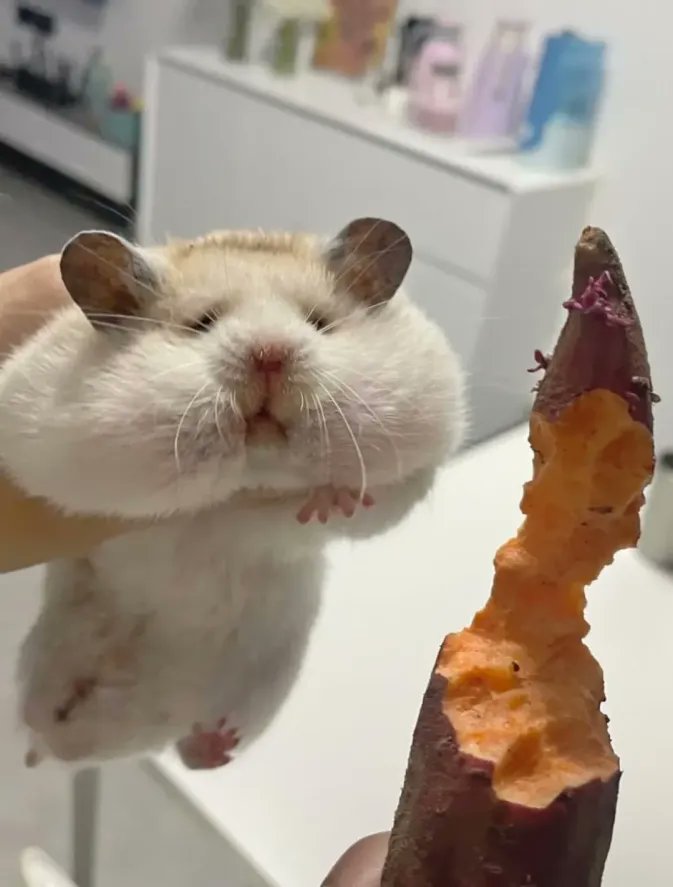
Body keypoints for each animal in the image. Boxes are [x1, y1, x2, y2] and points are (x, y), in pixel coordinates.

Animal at [0, 217, 465, 769]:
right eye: (202, 323)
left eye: (319, 322)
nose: (270, 355)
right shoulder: (59, 449)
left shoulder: (420, 456)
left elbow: (375, 501)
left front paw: (330, 498)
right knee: (40, 722)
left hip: (265, 681)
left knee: (190, 749)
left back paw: (212, 741)